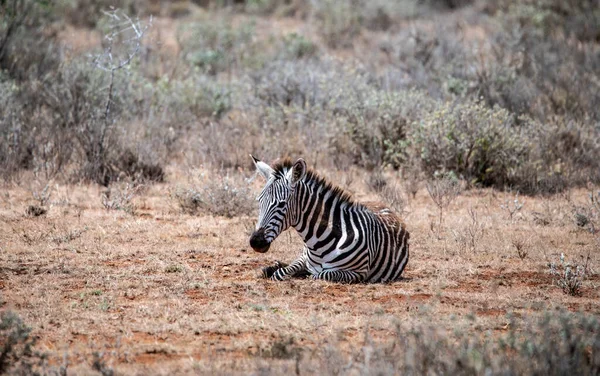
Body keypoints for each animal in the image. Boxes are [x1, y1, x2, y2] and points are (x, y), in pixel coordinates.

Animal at [247, 155, 408, 282]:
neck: (318, 244)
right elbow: (281, 273)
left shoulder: (358, 272)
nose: (255, 241)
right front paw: (275, 269)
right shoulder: (304, 258)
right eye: (259, 201)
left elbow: (321, 275)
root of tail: (381, 204)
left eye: (281, 204)